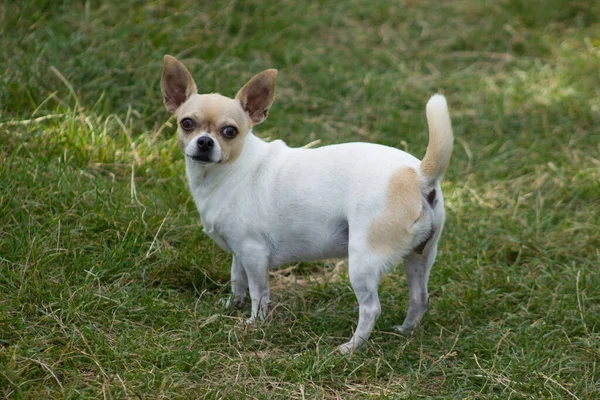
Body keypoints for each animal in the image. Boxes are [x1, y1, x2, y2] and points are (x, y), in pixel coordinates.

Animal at [162, 55, 452, 354]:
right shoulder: (239, 252)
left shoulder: (254, 254)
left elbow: (258, 293)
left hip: (363, 260)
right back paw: (405, 331)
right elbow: (237, 280)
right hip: (420, 257)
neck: (229, 171)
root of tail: (418, 174)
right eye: (186, 123)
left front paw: (254, 323)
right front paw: (233, 305)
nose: (205, 142)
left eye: (230, 131)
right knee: (420, 298)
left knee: (371, 308)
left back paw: (351, 348)